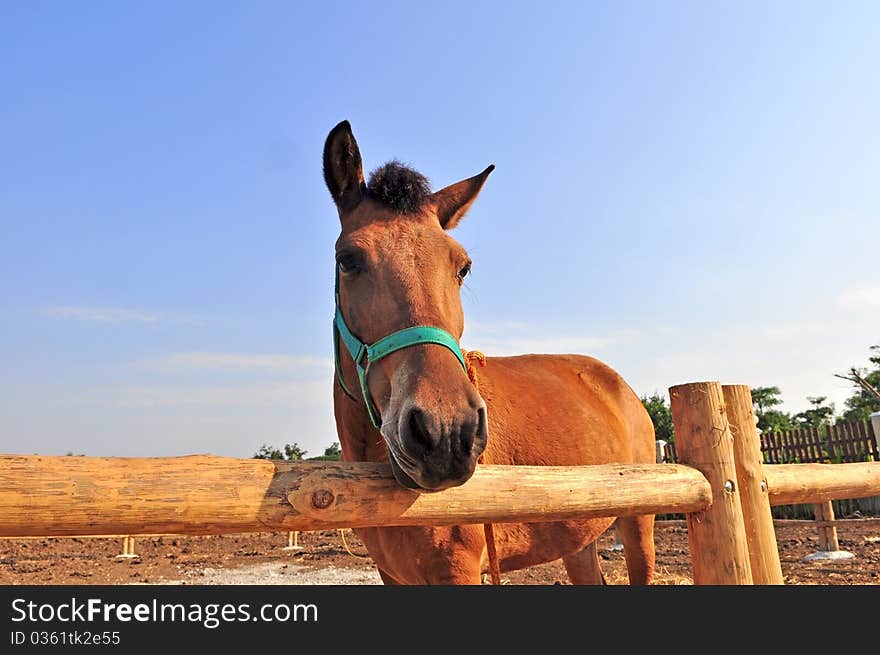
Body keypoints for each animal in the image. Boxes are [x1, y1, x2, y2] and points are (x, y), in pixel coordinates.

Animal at [322, 120, 652, 588]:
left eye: (463, 267)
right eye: (347, 260)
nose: (445, 432)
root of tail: (618, 384)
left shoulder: (457, 569)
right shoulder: (392, 575)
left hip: (640, 525)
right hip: (579, 540)